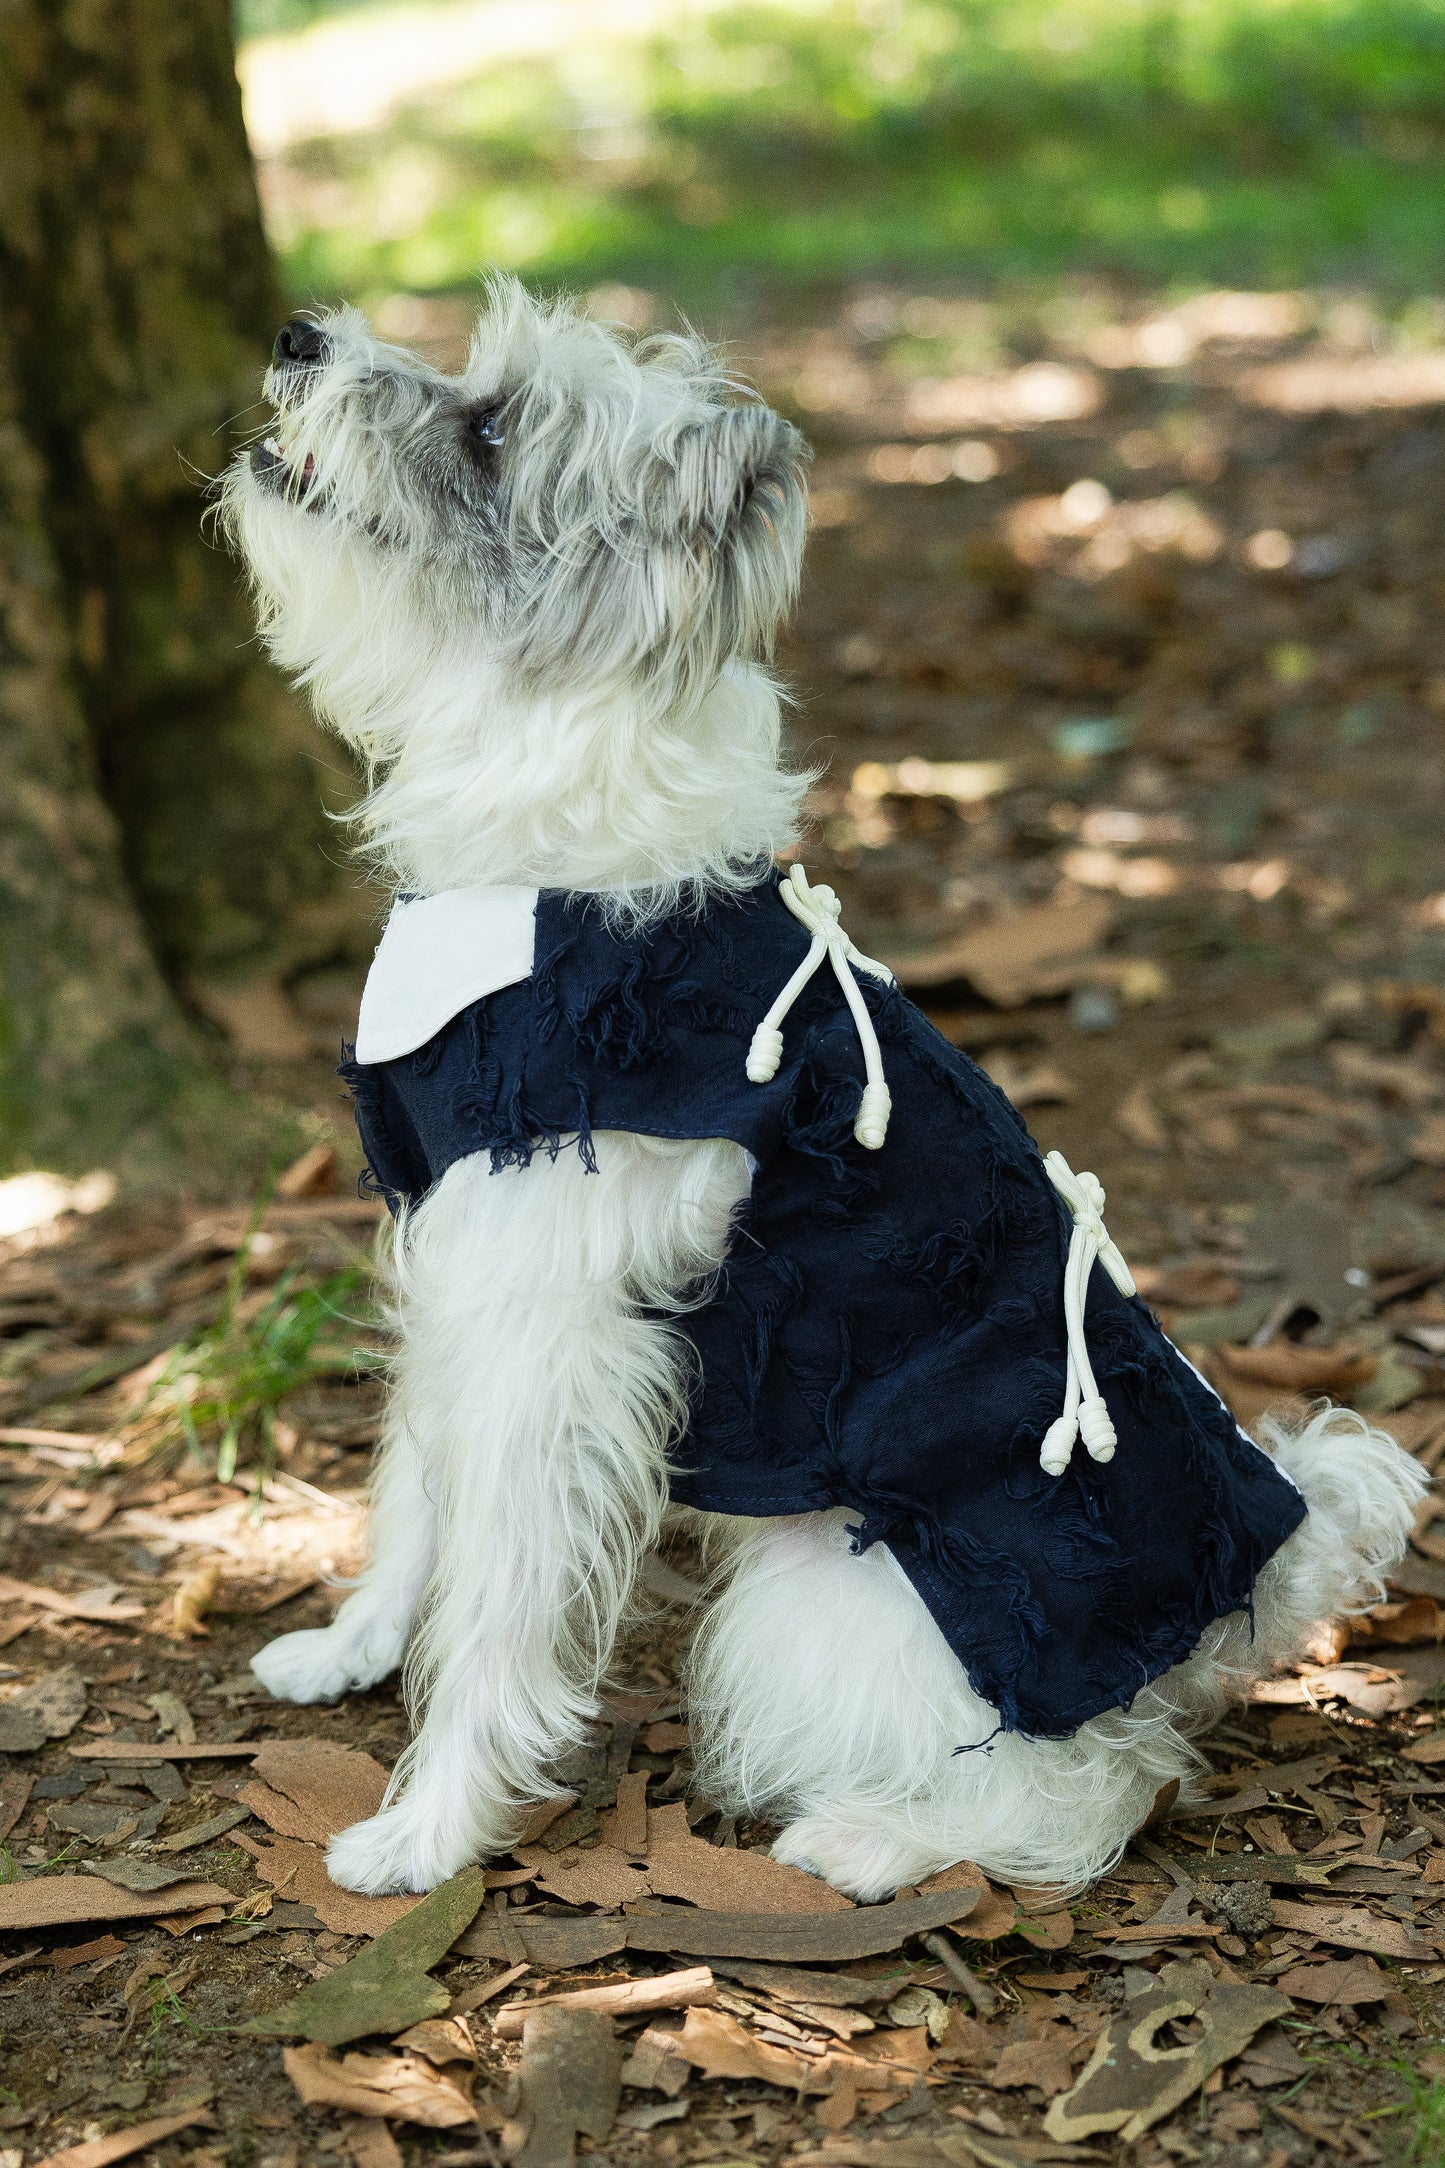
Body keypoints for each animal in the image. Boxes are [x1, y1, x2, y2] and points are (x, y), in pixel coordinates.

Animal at [223, 284, 1421, 1899]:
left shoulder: (555, 1340)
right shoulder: (460, 1263)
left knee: (1104, 1783)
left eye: (492, 430)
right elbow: (417, 1489)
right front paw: (352, 1642)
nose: (296, 331)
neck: (555, 878)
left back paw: (870, 1838)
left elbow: (499, 1598)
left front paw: (429, 1827)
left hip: (839, 1595)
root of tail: (1255, 1587)